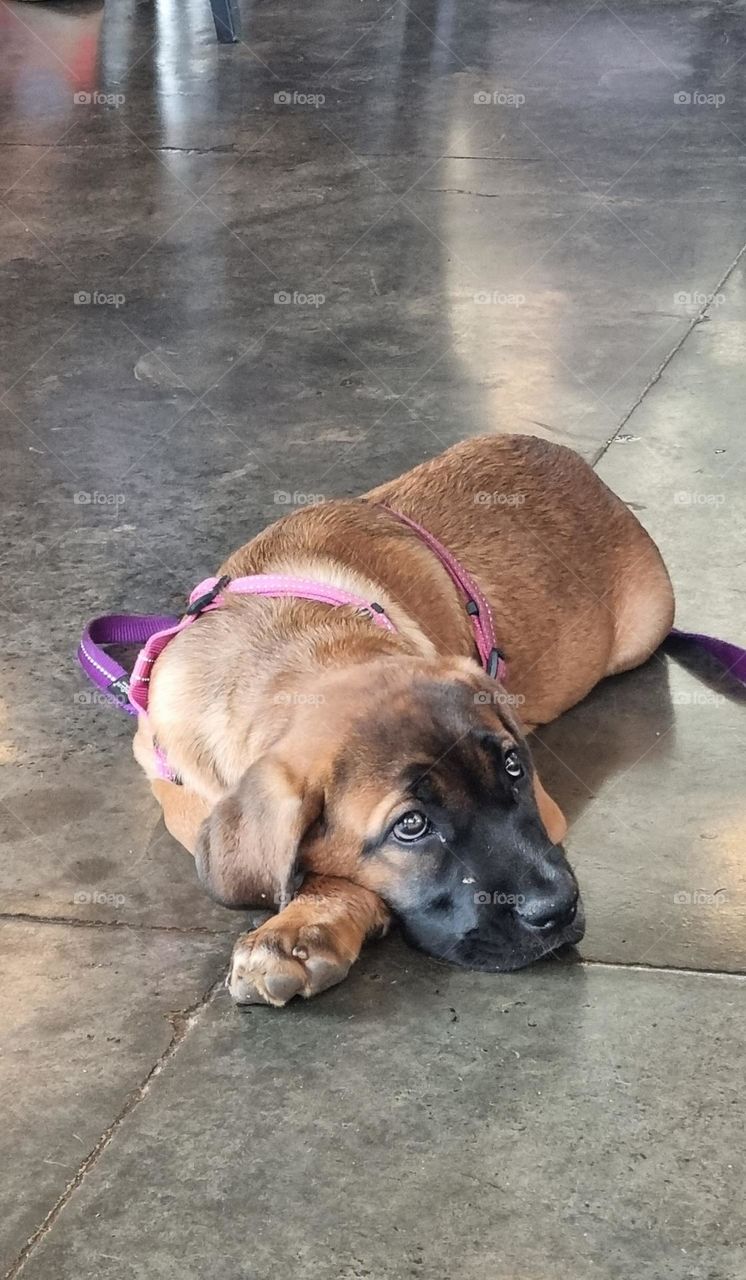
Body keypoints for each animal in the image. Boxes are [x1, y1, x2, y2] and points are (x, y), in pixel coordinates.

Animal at [134, 435, 675, 1003]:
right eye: (411, 826)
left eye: (514, 768)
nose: (559, 909)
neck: (295, 641)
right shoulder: (176, 788)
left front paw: (305, 925)